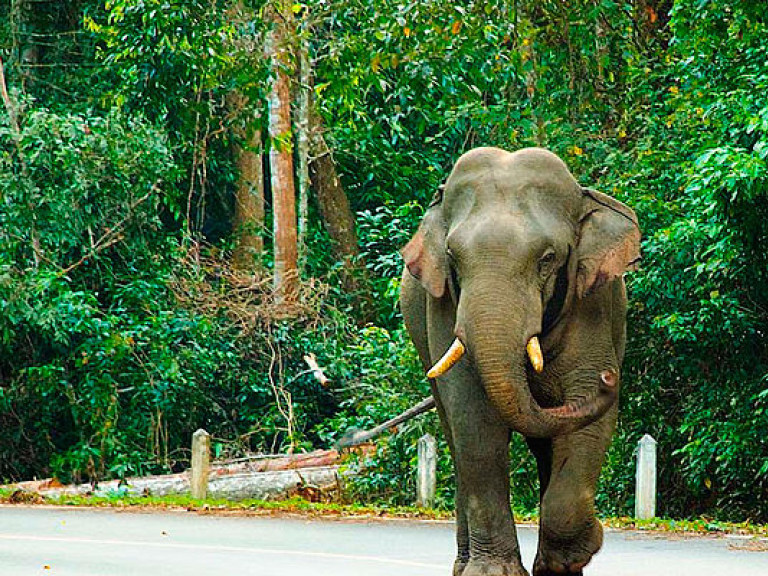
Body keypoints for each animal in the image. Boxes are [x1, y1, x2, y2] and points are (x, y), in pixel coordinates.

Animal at [400, 146, 640, 572]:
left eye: (547, 258)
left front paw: (571, 557)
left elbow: (589, 426)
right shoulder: (441, 308)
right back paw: (464, 565)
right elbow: (474, 419)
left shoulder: (593, 303)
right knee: (456, 441)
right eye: (452, 257)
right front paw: (492, 573)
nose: (610, 378)